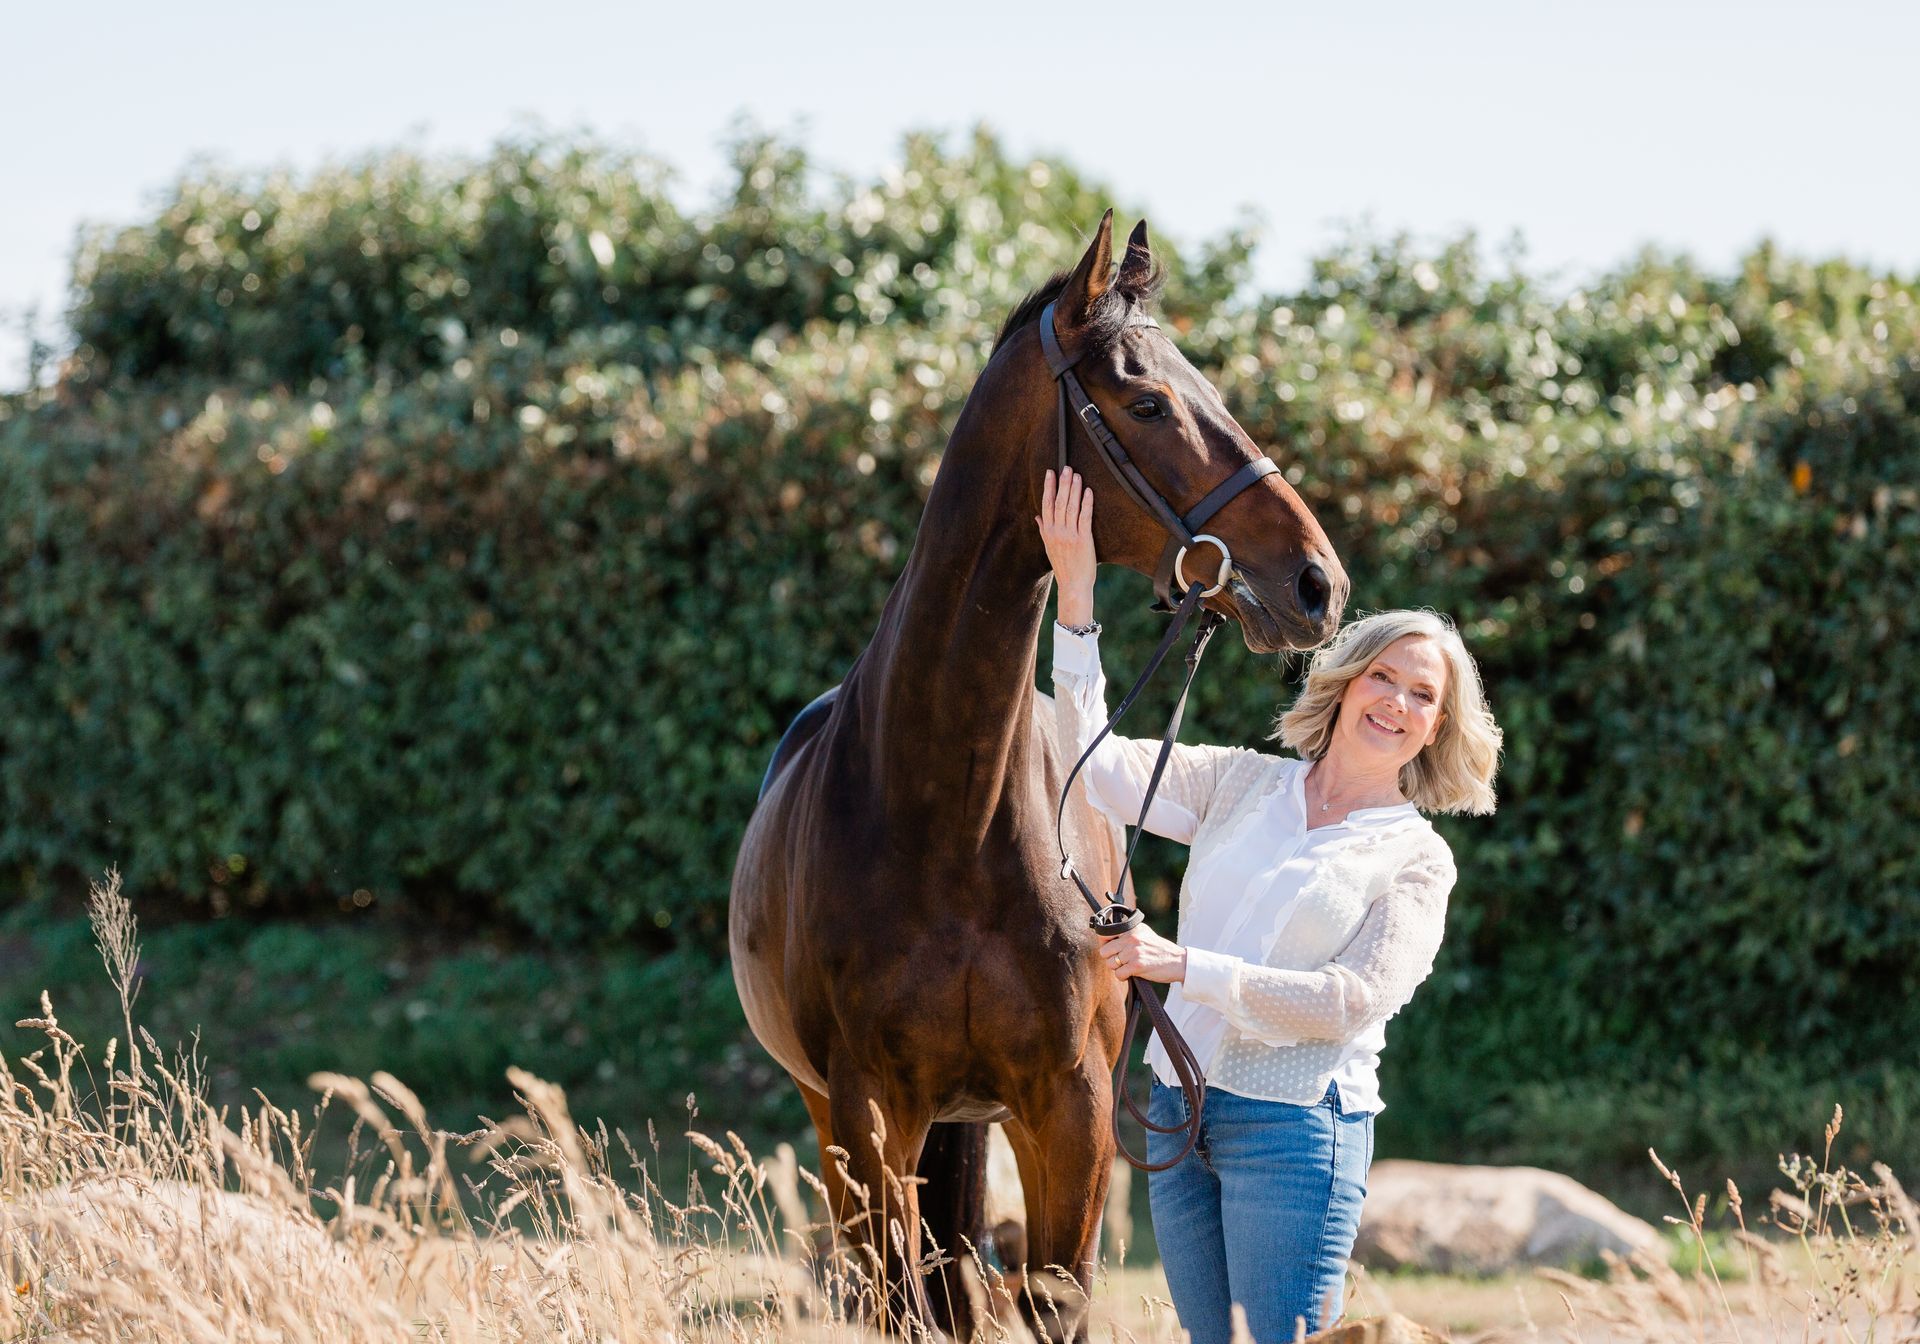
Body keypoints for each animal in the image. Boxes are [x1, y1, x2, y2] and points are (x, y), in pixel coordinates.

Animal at [729, 211, 1348, 1341]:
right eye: (1147, 402)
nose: (1317, 581)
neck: (948, 816)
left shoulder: (1072, 1106)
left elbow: (1052, 1299)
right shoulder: (869, 1108)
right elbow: (908, 1306)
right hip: (842, 1122)